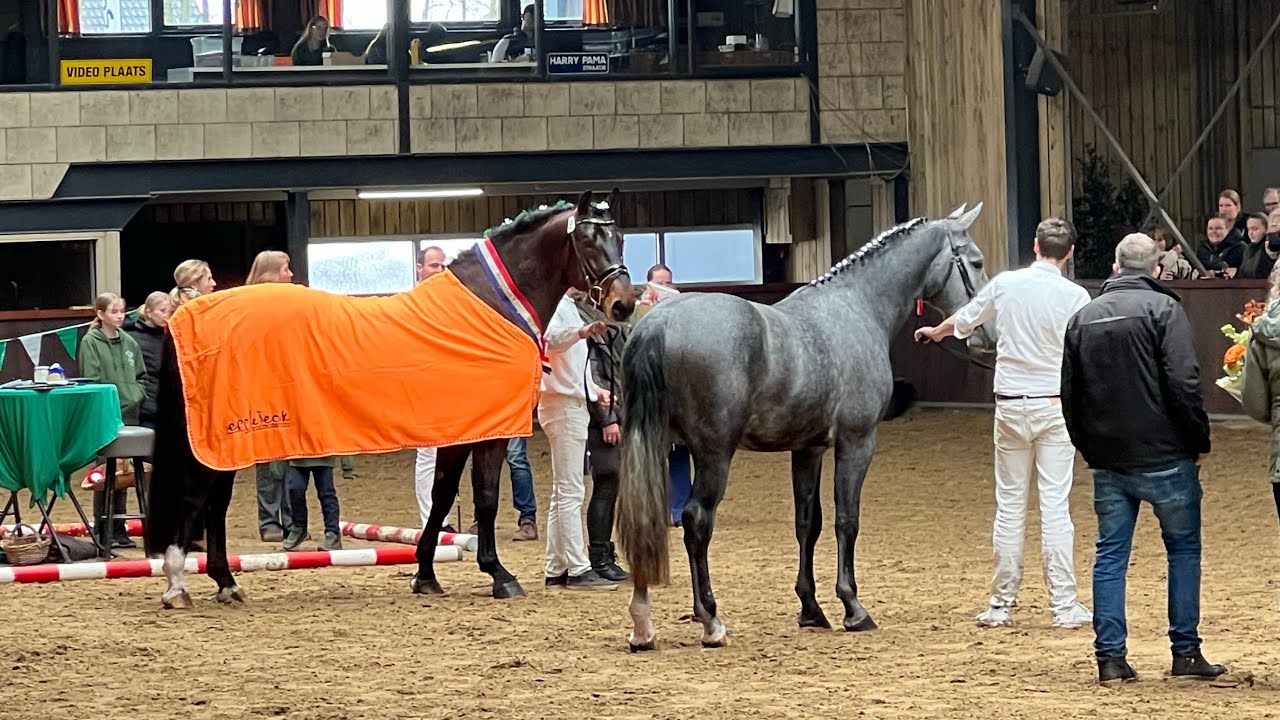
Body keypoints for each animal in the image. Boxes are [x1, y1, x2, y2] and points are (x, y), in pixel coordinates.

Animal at [143, 190, 636, 609]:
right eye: (588, 240)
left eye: (621, 238)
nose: (623, 305)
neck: (492, 306)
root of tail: (188, 314)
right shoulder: (490, 433)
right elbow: (486, 498)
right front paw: (499, 575)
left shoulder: (457, 431)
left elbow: (441, 496)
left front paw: (425, 575)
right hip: (222, 438)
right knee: (196, 500)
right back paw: (178, 585)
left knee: (215, 505)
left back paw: (224, 583)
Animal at [615, 203, 993, 651]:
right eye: (976, 262)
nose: (986, 333)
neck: (856, 308)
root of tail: (658, 323)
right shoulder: (856, 442)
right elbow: (847, 519)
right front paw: (853, 607)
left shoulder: (808, 448)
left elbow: (807, 524)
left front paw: (811, 609)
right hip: (713, 454)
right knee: (696, 521)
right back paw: (711, 620)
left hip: (650, 443)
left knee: (645, 519)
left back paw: (642, 625)